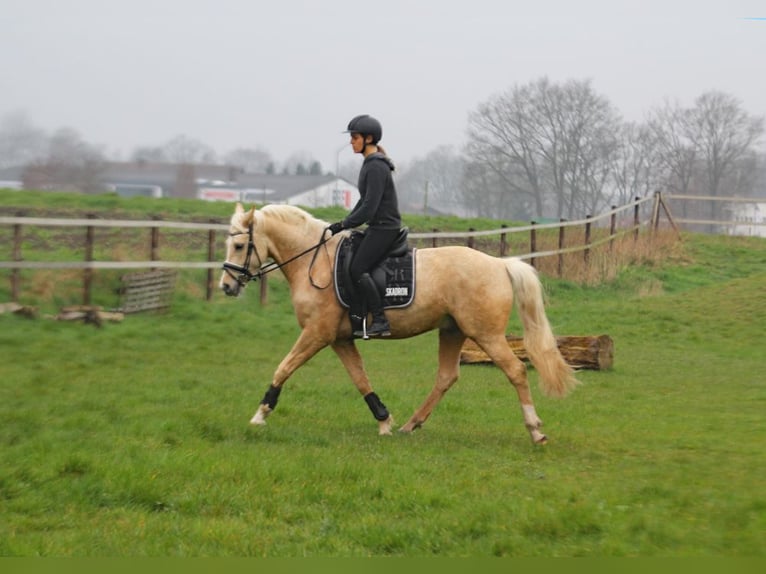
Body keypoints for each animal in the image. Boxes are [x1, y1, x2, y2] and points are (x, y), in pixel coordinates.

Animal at [219, 202, 580, 446]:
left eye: (239, 245)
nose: (226, 286)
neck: (315, 261)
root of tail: (499, 264)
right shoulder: (339, 339)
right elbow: (360, 378)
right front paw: (384, 421)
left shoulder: (317, 334)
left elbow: (283, 367)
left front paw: (260, 415)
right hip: (452, 331)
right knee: (446, 377)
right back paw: (411, 424)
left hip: (486, 334)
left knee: (516, 371)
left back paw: (535, 430)